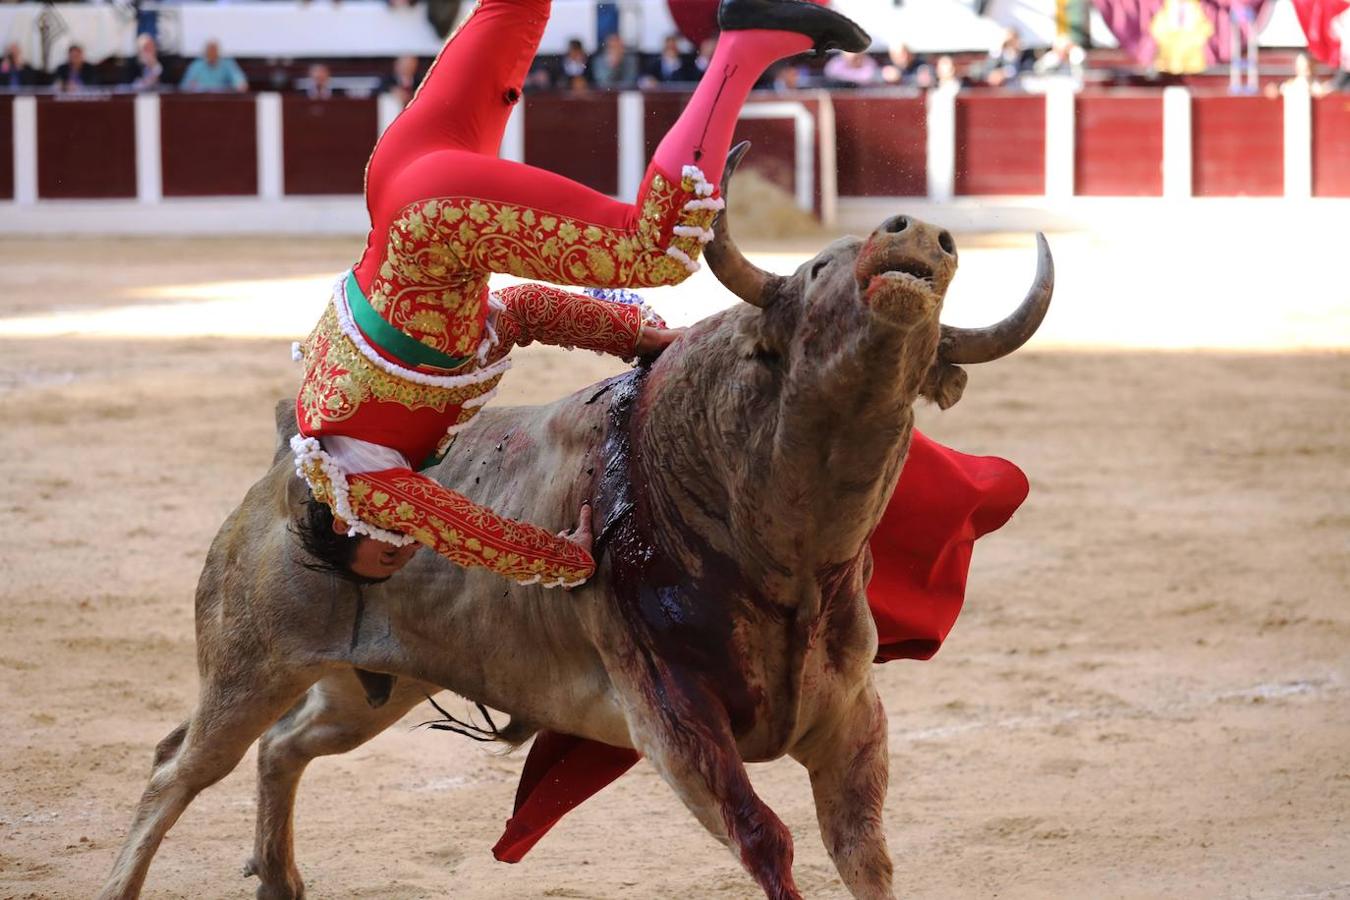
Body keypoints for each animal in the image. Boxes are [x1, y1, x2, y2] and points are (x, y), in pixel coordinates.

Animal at [99, 149, 1053, 900]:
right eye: (818, 269)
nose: (916, 236)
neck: (790, 560)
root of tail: (289, 463)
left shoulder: (852, 720)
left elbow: (864, 855)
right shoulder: (673, 718)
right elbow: (766, 838)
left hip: (368, 688)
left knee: (283, 749)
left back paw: (281, 879)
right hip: (252, 667)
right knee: (181, 767)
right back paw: (129, 883)